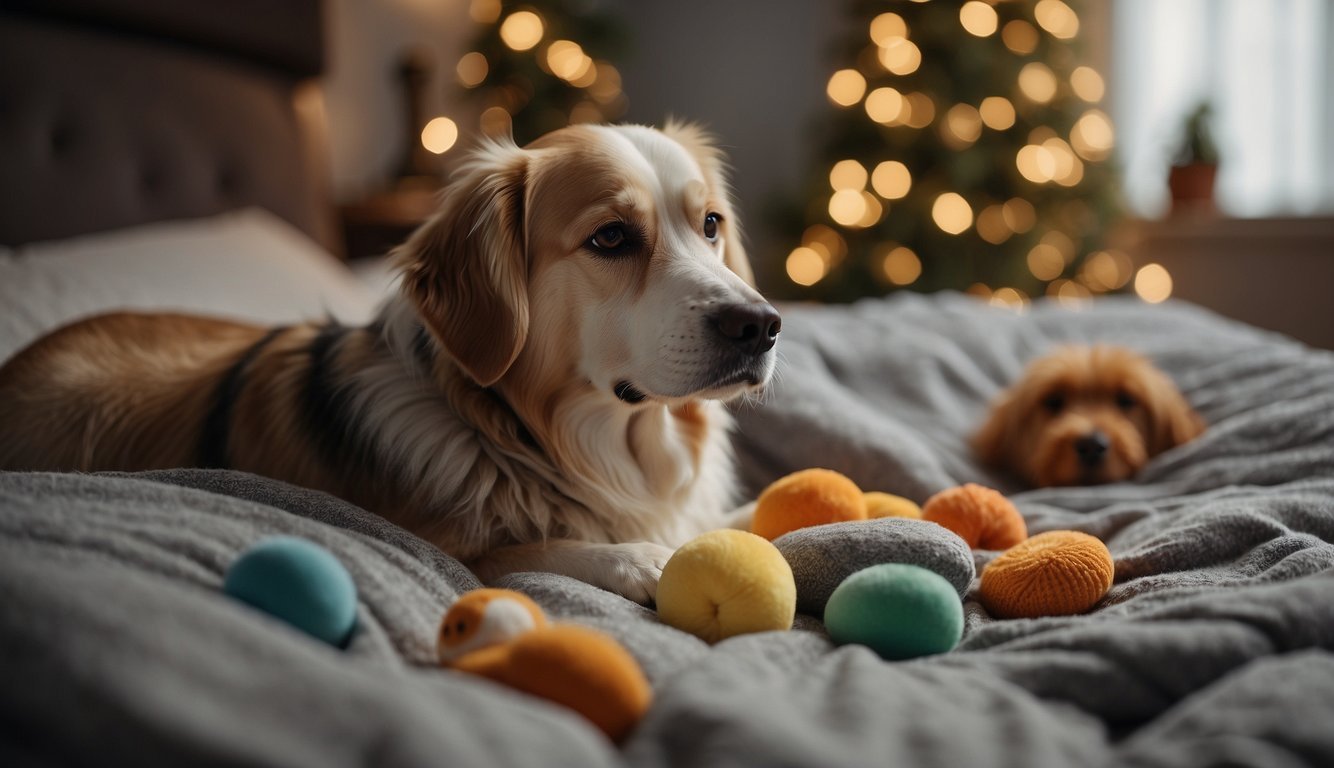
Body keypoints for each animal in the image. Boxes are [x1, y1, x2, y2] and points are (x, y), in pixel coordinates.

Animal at [0, 122, 779, 602]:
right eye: (611, 238)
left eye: (711, 225)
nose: (762, 327)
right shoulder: (445, 546)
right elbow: (538, 547)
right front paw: (645, 557)